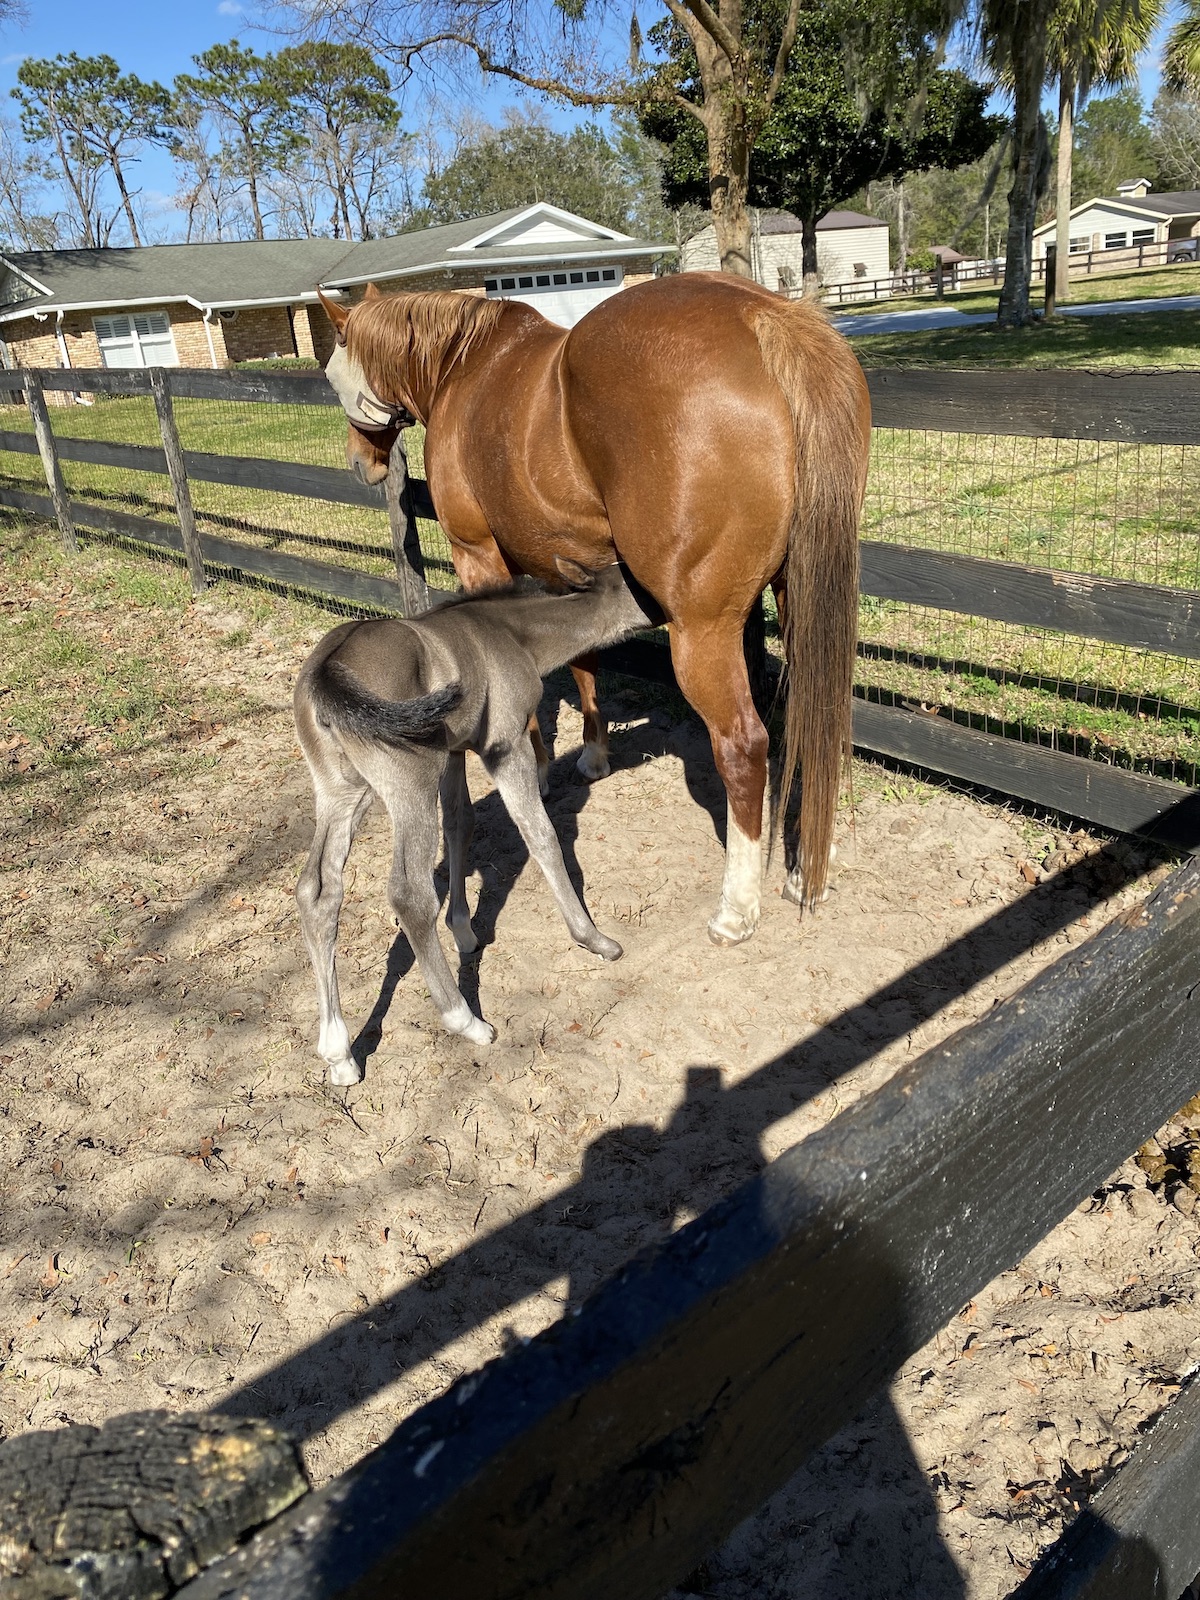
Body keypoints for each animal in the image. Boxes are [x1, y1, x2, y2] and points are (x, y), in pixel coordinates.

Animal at [294, 563, 659, 1088]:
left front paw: (464, 931)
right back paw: (464, 1020)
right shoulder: (504, 745)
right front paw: (594, 939)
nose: (671, 609)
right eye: (636, 581)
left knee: (318, 891)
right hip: (408, 781)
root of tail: (327, 672)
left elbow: (461, 824)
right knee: (408, 893)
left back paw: (338, 1052)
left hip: (341, 790)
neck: (512, 634)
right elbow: (541, 834)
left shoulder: (454, 751)